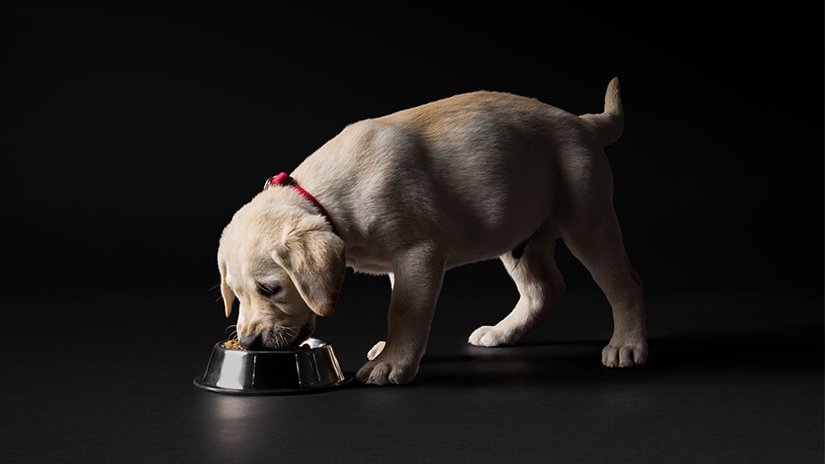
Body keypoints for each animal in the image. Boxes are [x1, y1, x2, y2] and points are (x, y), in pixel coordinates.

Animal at [216, 79, 648, 384]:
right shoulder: (401, 265)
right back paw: (503, 332)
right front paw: (388, 351)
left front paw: (391, 363)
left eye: (271, 289)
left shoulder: (418, 253)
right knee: (544, 289)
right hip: (518, 235)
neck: (325, 200)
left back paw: (627, 345)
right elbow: (402, 304)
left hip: (587, 218)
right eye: (235, 293)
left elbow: (404, 312)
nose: (249, 342)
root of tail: (583, 123)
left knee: (624, 283)